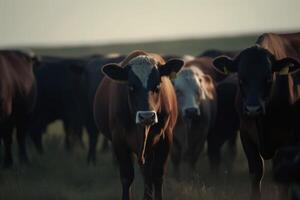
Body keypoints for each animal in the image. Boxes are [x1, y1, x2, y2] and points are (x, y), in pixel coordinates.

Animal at [94, 50, 183, 200]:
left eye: (157, 86)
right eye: (131, 87)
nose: (147, 116)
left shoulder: (165, 139)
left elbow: (157, 175)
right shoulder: (119, 141)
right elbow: (127, 176)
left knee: (148, 173)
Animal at [214, 32, 300, 199]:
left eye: (269, 78)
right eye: (241, 78)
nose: (253, 109)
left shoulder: (288, 140)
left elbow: (283, 179)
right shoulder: (246, 135)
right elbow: (256, 173)